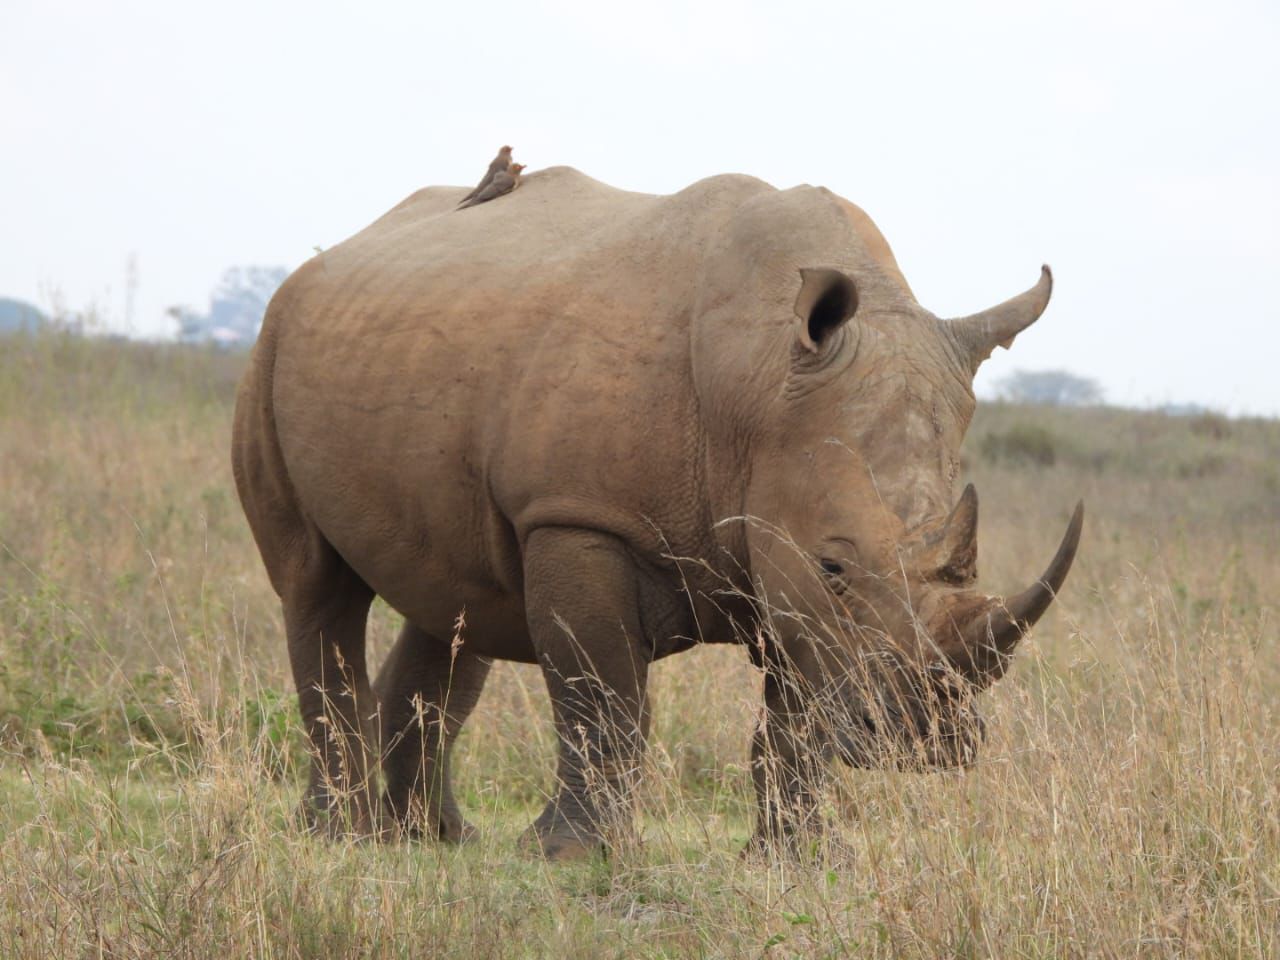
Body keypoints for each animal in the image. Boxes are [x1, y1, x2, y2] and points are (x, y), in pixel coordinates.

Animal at [232, 166, 1082, 858]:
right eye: (835, 564)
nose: (923, 741)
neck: (762, 387)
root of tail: (334, 254)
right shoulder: (579, 515)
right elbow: (603, 696)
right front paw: (576, 855)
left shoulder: (781, 551)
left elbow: (795, 721)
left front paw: (802, 858)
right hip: (269, 347)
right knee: (317, 588)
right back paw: (342, 835)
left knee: (454, 606)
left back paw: (430, 839)